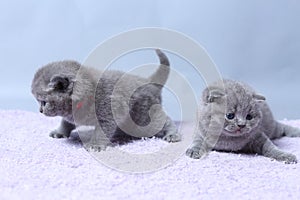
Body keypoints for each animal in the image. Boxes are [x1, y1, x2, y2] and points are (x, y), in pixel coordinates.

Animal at [31, 49, 180, 151]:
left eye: (43, 102)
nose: (40, 111)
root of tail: (149, 82)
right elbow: (65, 122)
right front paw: (60, 132)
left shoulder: (108, 112)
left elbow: (102, 129)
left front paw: (95, 145)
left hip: (142, 118)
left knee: (164, 120)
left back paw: (172, 134)